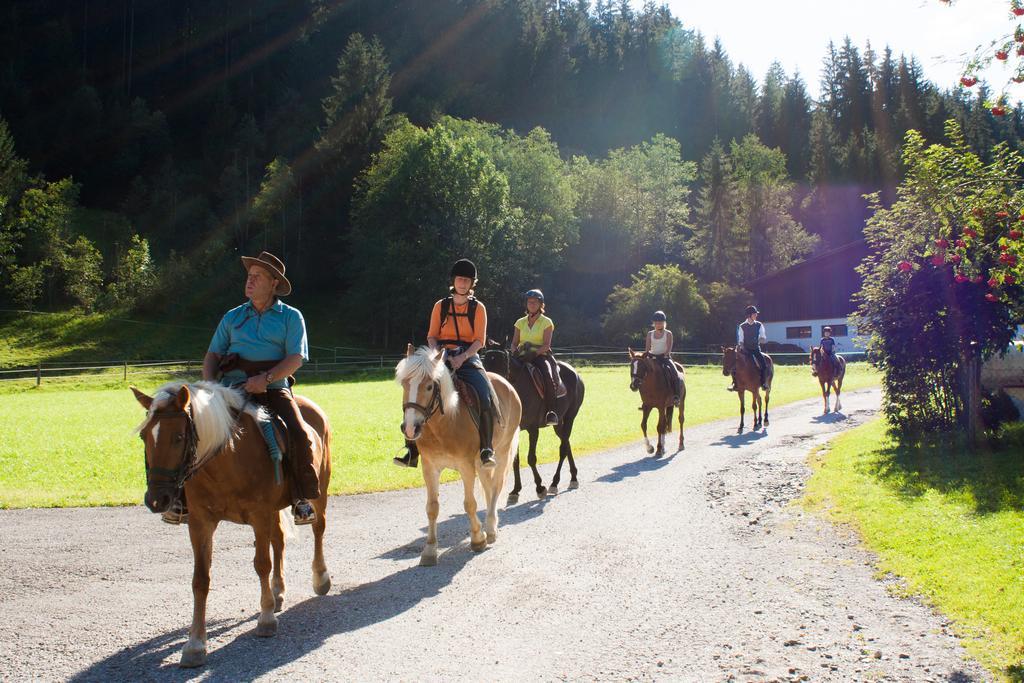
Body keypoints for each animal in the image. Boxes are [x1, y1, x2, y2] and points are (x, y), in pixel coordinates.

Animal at [131, 382, 331, 671]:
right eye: (144, 436)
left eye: (178, 437)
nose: (157, 500)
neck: (227, 458)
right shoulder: (200, 523)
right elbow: (200, 580)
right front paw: (195, 644)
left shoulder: (259, 515)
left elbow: (262, 564)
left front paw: (266, 619)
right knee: (279, 540)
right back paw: (278, 591)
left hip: (319, 492)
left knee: (318, 530)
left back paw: (320, 578)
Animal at [391, 348, 520, 565]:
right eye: (404, 384)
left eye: (429, 386)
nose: (410, 428)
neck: (446, 421)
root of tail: (508, 384)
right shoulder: (430, 467)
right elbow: (432, 507)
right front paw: (429, 550)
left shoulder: (466, 466)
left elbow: (469, 504)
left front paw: (478, 539)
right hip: (481, 463)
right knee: (488, 487)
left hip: (502, 452)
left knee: (496, 486)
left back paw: (491, 529)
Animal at [485, 350, 589, 505]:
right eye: (485, 363)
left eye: (503, 363)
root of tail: (575, 373)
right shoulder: (514, 431)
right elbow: (515, 460)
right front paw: (515, 491)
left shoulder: (533, 429)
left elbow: (531, 458)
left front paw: (540, 488)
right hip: (559, 424)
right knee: (567, 443)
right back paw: (573, 477)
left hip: (570, 418)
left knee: (563, 449)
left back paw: (555, 483)